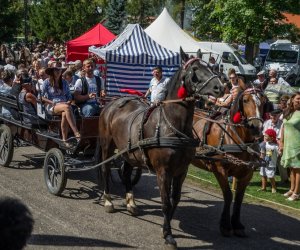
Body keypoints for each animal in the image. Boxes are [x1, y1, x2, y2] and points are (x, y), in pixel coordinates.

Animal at [98, 48, 225, 248]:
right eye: (195, 70)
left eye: (211, 67)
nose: (220, 88)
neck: (171, 125)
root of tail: (113, 102)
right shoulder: (163, 171)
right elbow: (165, 202)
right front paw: (169, 235)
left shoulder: (181, 171)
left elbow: (175, 199)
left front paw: (166, 228)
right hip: (107, 144)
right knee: (104, 168)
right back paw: (109, 201)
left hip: (129, 152)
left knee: (126, 172)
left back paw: (131, 202)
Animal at [192, 88, 268, 238]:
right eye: (245, 100)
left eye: (264, 101)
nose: (256, 127)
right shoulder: (220, 169)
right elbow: (228, 195)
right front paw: (226, 225)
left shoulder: (247, 173)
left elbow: (239, 198)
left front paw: (237, 225)